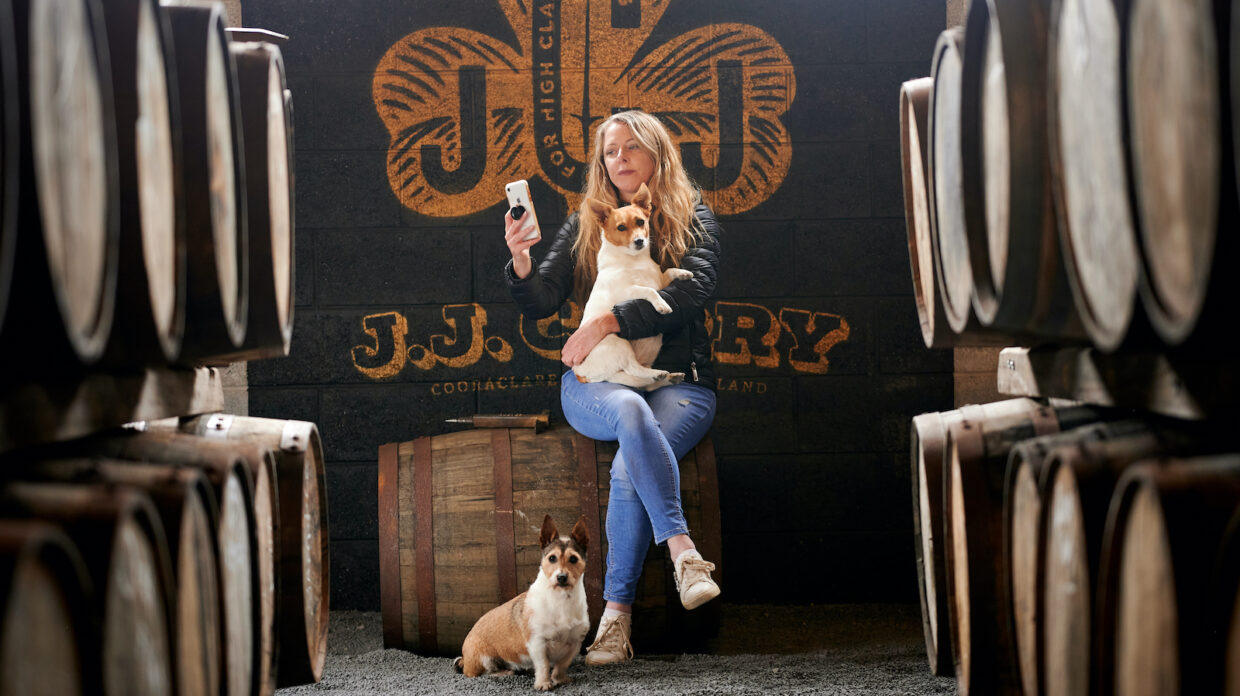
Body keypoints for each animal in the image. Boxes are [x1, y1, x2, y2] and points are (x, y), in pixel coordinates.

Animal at [453, 513, 592, 684]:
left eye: (573, 559)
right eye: (552, 558)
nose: (561, 577)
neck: (561, 598)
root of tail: (464, 659)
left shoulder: (574, 643)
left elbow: (562, 665)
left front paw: (559, 678)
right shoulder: (537, 643)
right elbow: (544, 665)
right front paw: (544, 683)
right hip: (483, 659)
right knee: (479, 673)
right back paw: (504, 673)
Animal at [572, 183, 699, 392]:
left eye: (641, 222)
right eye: (621, 227)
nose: (640, 241)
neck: (634, 260)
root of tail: (581, 373)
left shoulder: (659, 281)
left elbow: (668, 272)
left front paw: (683, 273)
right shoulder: (625, 292)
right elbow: (648, 290)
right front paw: (662, 305)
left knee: (643, 382)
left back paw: (667, 377)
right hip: (617, 342)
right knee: (634, 368)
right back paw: (659, 373)